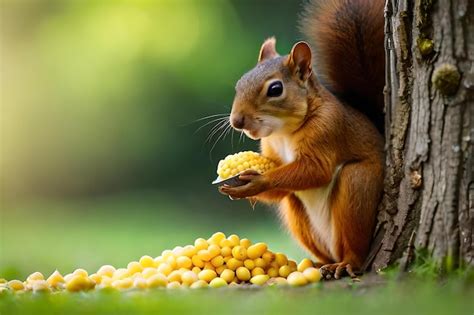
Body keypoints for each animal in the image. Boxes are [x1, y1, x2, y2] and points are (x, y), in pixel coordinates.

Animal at [218, 0, 386, 282]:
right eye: (240, 83)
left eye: (275, 89)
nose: (236, 121)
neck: (284, 132)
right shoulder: (270, 150)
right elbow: (280, 177)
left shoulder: (328, 129)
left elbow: (316, 169)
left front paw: (257, 183)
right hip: (297, 213)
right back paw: (320, 264)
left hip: (358, 184)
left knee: (354, 245)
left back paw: (346, 263)